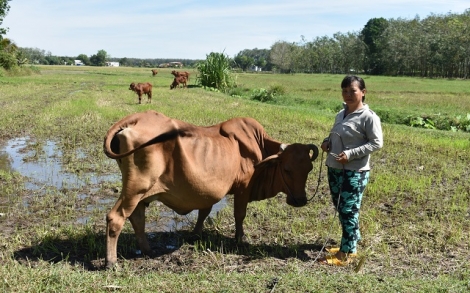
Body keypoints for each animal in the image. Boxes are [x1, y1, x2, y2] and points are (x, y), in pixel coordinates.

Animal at [101, 110, 318, 266]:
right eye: (287, 169)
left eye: (309, 168)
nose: (300, 200)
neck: (260, 147)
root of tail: (136, 118)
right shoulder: (243, 187)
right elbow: (239, 214)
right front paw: (240, 238)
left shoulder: (207, 192)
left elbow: (203, 212)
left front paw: (195, 234)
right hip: (136, 188)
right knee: (116, 218)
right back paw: (111, 262)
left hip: (138, 193)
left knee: (137, 218)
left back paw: (147, 250)